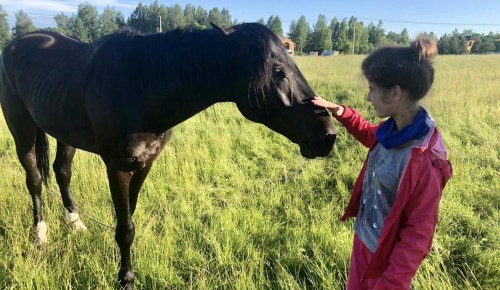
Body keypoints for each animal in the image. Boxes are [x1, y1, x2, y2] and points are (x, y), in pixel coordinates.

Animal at [0, 23, 336, 290]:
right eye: (277, 72)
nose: (328, 134)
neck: (140, 85)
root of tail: (17, 43)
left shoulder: (145, 164)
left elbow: (129, 218)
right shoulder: (117, 167)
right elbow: (125, 229)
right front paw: (126, 280)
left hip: (62, 130)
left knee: (62, 171)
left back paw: (76, 223)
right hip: (22, 129)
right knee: (34, 180)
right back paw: (40, 236)